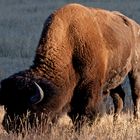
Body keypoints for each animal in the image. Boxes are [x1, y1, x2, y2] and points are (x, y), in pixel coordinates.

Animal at [0, 3, 140, 132]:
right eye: (7, 106)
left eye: (27, 109)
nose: (9, 126)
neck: (70, 42)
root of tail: (135, 25)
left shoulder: (91, 87)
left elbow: (87, 111)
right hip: (115, 78)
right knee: (119, 98)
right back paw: (115, 123)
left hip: (135, 71)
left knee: (135, 95)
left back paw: (134, 121)